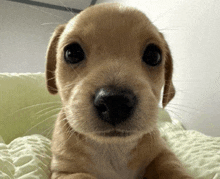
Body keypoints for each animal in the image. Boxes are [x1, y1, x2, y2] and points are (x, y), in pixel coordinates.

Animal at [46, 2, 192, 179]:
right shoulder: (65, 172)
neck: (113, 147)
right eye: (72, 53)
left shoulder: (162, 153)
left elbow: (171, 166)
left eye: (154, 55)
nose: (114, 103)